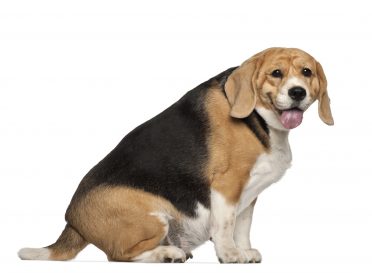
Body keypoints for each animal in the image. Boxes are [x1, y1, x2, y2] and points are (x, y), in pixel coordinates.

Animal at [18, 46, 334, 262]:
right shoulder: (227, 186)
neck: (259, 116)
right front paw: (230, 255)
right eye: (276, 73)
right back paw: (167, 254)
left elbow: (242, 226)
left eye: (307, 72)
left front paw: (244, 251)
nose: (297, 92)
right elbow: (225, 226)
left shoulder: (249, 193)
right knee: (119, 255)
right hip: (153, 218)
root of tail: (73, 221)